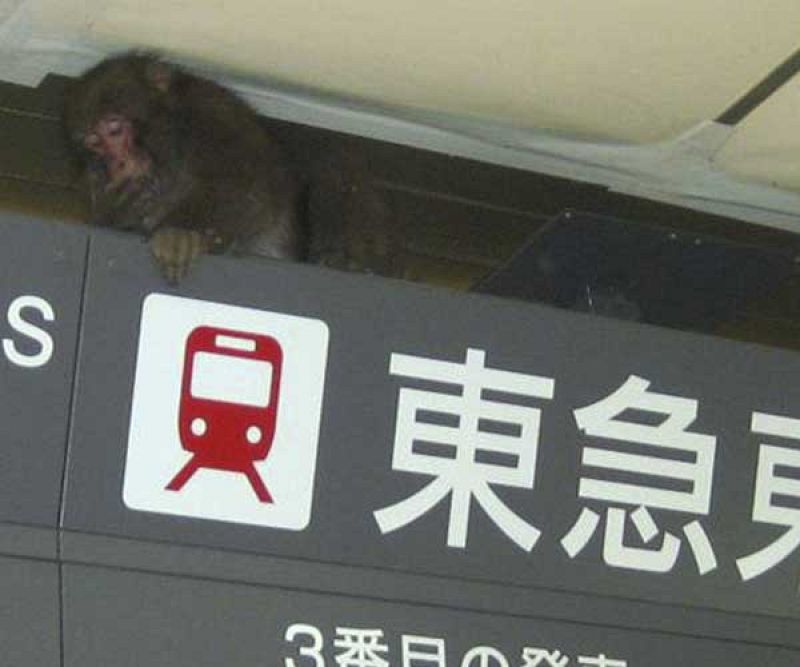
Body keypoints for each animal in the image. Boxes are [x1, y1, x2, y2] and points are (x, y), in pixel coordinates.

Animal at [64, 52, 302, 283]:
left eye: (114, 129)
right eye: (95, 142)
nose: (118, 162)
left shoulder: (215, 115)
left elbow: (249, 189)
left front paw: (181, 233)